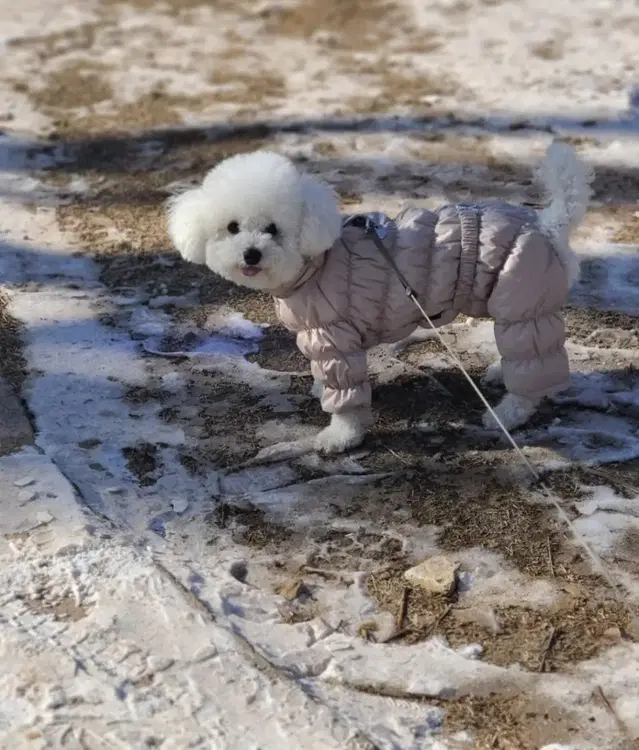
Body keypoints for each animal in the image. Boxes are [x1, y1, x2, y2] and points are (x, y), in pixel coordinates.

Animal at [168, 145, 592, 456]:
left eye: (273, 229)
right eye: (232, 227)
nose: (251, 254)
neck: (316, 262)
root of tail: (548, 225)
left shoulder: (335, 339)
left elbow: (347, 400)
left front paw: (340, 437)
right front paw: (321, 391)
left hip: (521, 304)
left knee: (531, 375)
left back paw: (508, 413)